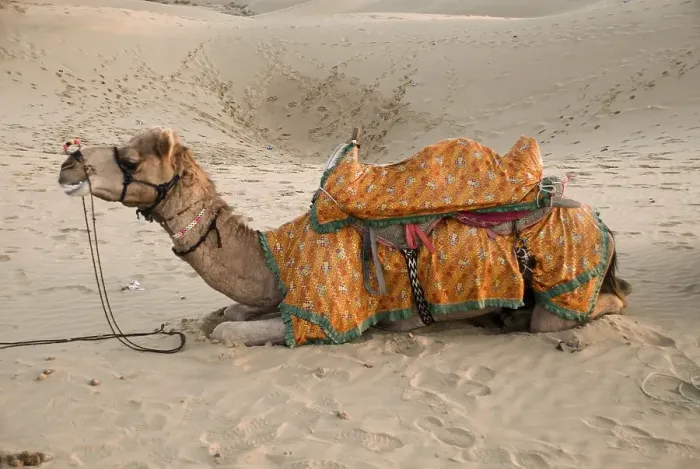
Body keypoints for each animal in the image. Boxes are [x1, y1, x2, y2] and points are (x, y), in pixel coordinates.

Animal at [56, 127, 631, 347]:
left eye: (131, 159)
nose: (68, 164)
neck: (276, 254)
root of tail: (602, 223)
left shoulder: (322, 316)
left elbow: (226, 331)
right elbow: (221, 314)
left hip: (563, 287)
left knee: (596, 306)